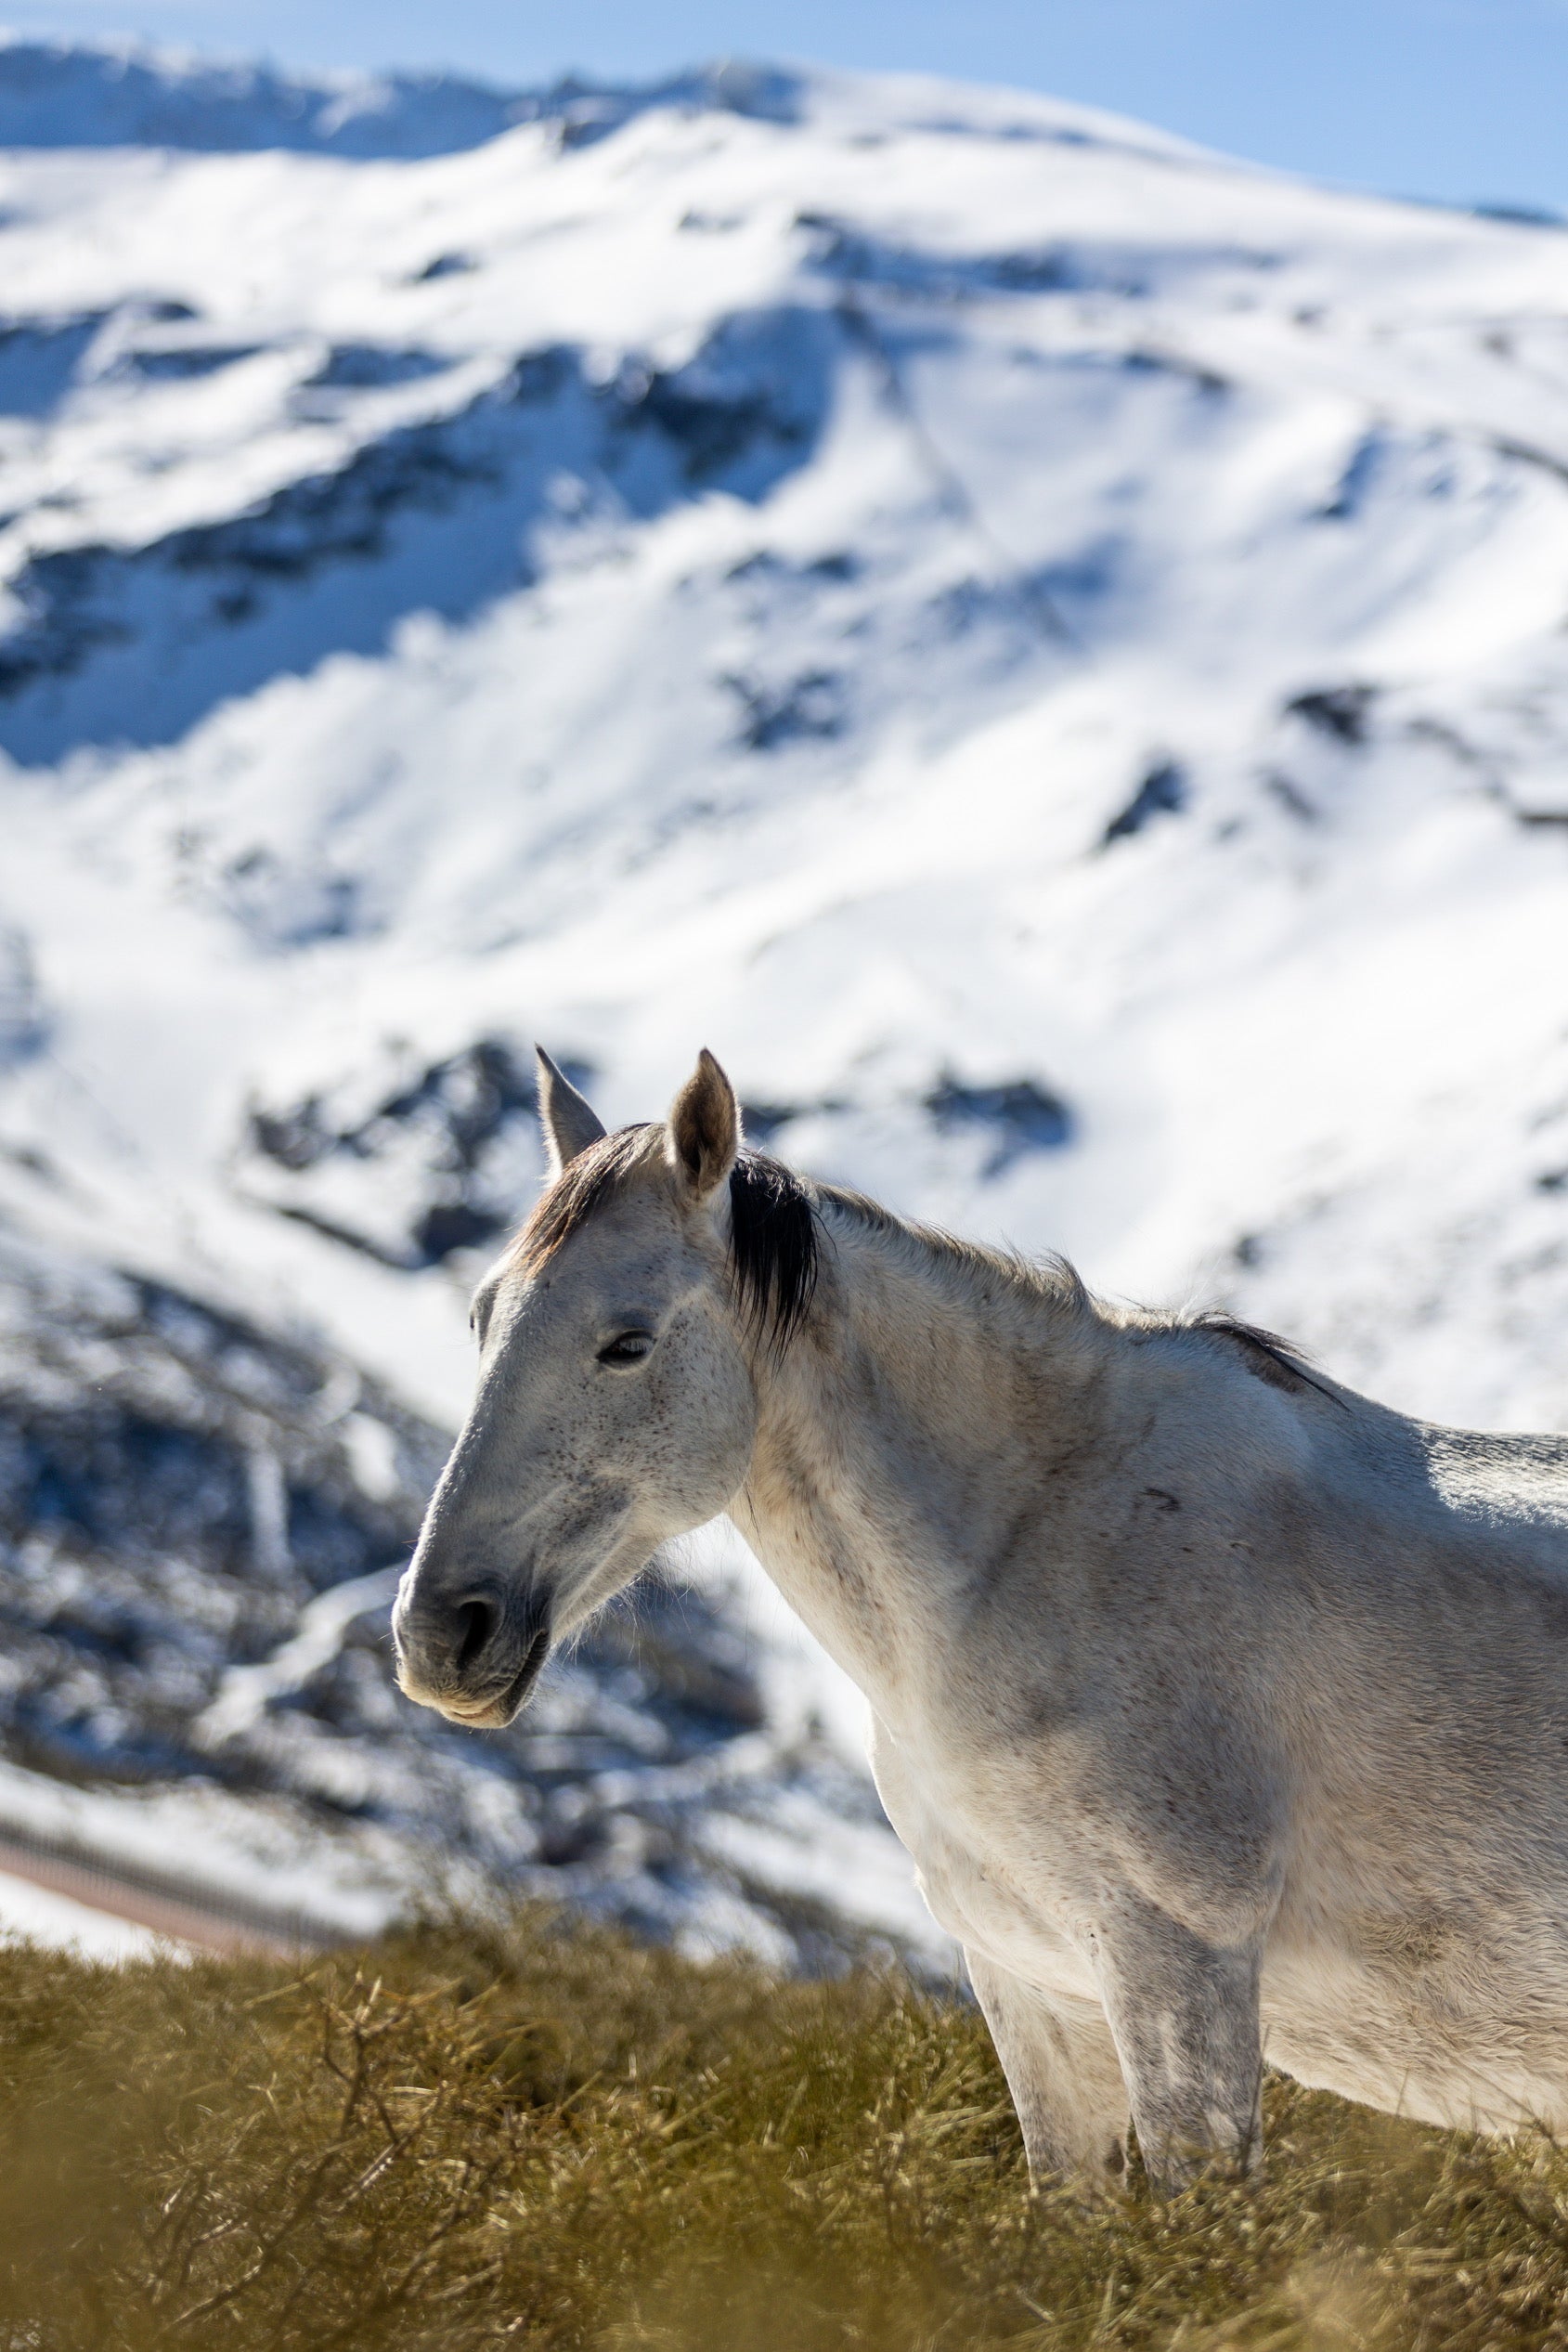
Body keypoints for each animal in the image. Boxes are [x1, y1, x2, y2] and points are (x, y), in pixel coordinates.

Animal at [395, 1048, 1568, 2182]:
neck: (1041, 1548)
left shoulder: (1178, 1968)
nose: (438, 1634)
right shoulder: (1031, 1988)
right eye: (481, 1316)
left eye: (627, 1342)